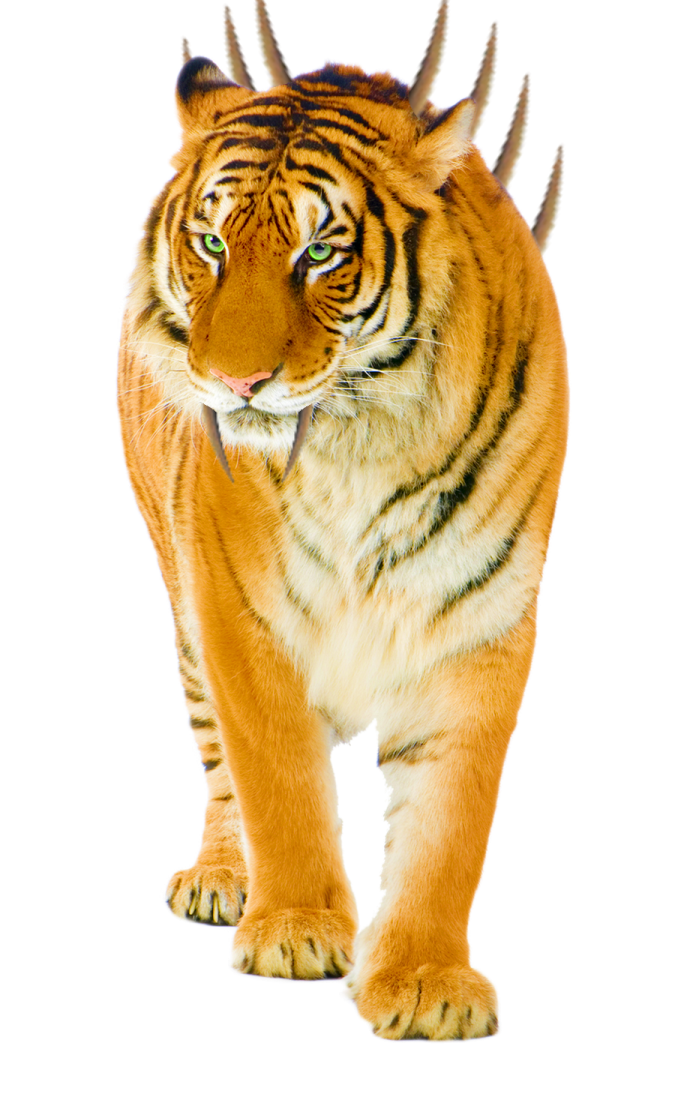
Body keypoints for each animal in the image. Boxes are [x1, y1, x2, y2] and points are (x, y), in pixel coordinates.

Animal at [115, 0, 570, 1042]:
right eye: (212, 245)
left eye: (318, 252)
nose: (233, 380)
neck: (367, 441)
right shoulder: (241, 613)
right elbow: (279, 777)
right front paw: (292, 932)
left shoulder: (478, 623)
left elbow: (449, 823)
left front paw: (427, 979)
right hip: (180, 593)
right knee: (216, 752)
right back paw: (219, 878)